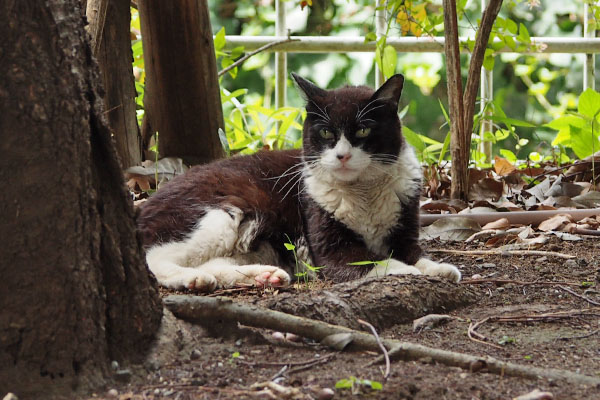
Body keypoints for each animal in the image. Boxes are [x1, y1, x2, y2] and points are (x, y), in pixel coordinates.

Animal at [137, 72, 460, 290]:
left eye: (363, 131)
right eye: (326, 132)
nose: (342, 155)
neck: (363, 191)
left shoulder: (405, 227)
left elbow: (414, 254)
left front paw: (439, 268)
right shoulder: (330, 247)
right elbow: (376, 262)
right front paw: (412, 273)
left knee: (217, 260)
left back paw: (263, 275)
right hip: (218, 215)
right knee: (154, 256)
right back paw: (192, 278)